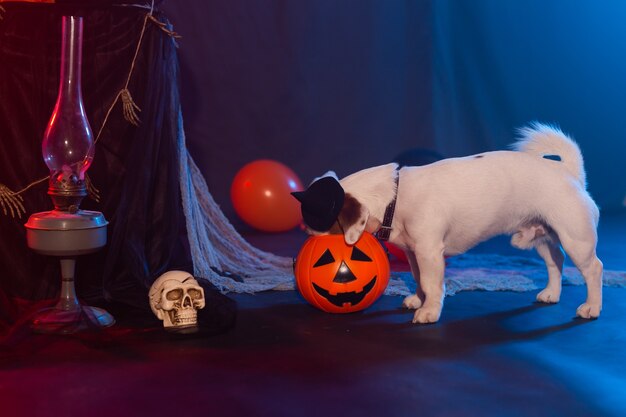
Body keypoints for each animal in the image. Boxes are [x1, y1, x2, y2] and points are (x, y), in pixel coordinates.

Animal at [294, 122, 604, 324]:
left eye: (318, 221)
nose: (302, 230)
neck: (395, 195)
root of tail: (569, 173)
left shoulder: (429, 253)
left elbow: (431, 283)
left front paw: (429, 311)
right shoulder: (414, 253)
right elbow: (418, 278)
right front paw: (418, 300)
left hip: (576, 239)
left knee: (593, 269)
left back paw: (591, 306)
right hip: (542, 237)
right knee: (555, 261)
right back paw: (552, 293)